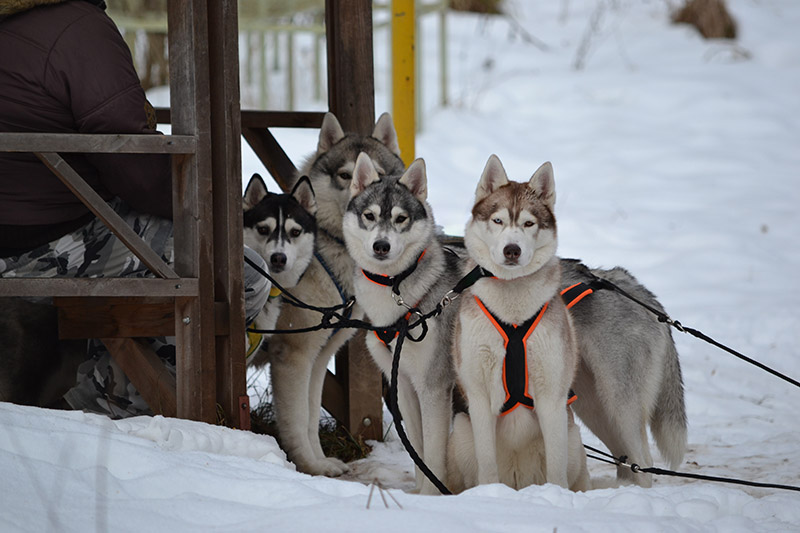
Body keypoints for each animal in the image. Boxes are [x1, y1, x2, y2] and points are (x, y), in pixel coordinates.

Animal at [257, 113, 406, 476]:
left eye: (380, 177)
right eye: (345, 175)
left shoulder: (319, 356)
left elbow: (310, 416)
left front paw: (321, 462)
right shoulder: (293, 354)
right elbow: (297, 419)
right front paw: (307, 466)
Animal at [342, 153, 466, 494]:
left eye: (400, 219)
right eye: (369, 216)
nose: (381, 246)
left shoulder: (433, 387)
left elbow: (433, 454)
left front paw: (433, 495)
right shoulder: (406, 386)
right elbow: (419, 453)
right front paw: (422, 494)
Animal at [452, 155, 590, 491]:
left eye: (528, 223)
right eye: (498, 221)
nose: (511, 249)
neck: (512, 312)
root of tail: (518, 480)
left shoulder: (552, 396)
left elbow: (556, 469)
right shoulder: (479, 395)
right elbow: (487, 464)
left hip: (573, 439)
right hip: (461, 431)